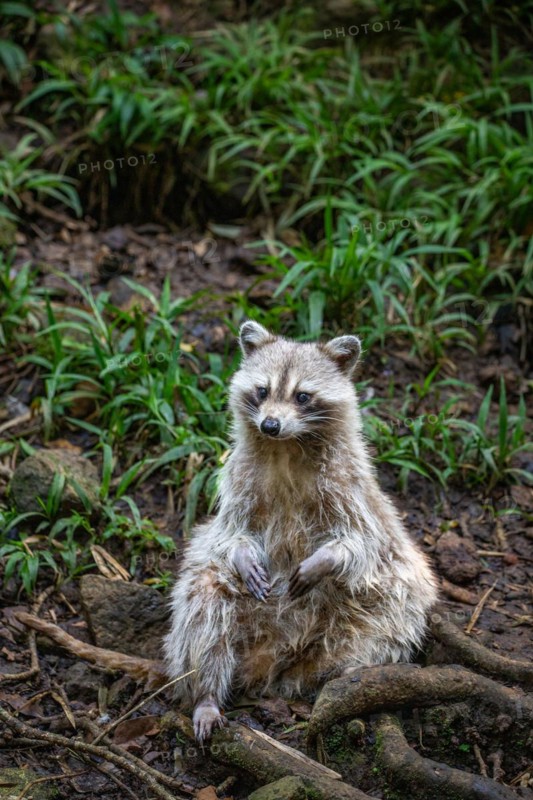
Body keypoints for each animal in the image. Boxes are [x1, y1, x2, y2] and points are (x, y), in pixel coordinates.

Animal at [164, 322, 438, 740]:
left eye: (303, 396)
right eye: (263, 391)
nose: (270, 424)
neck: (287, 447)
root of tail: (272, 663)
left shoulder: (350, 488)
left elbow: (362, 542)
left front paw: (325, 560)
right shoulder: (237, 480)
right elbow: (228, 534)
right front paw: (243, 554)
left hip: (378, 608)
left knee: (392, 617)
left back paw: (348, 674)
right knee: (204, 606)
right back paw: (206, 693)